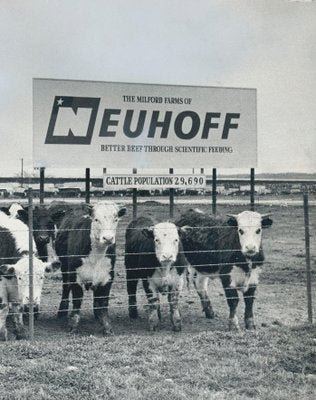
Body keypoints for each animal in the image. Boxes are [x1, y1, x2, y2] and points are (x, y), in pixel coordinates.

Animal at [0, 211, 59, 340]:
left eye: (42, 277)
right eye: (20, 277)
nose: (32, 303)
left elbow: (18, 306)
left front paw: (20, 332)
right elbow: (3, 307)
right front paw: (2, 333)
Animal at [54, 200, 126, 334]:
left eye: (116, 219)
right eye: (96, 219)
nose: (108, 238)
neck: (96, 255)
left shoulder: (108, 276)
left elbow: (102, 302)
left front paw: (106, 326)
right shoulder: (75, 275)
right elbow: (77, 300)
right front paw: (73, 325)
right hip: (64, 268)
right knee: (65, 288)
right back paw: (62, 312)